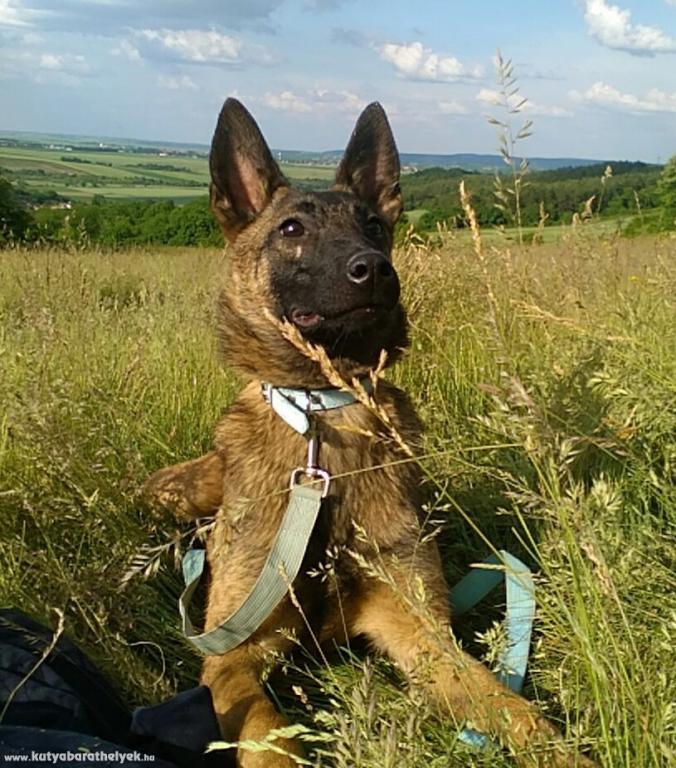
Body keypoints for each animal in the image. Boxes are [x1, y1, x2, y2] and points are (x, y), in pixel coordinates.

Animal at [144, 98, 596, 768]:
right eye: (291, 230)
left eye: (376, 227)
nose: (376, 270)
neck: (325, 418)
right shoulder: (233, 656)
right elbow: (268, 735)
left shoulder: (422, 633)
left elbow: (511, 709)